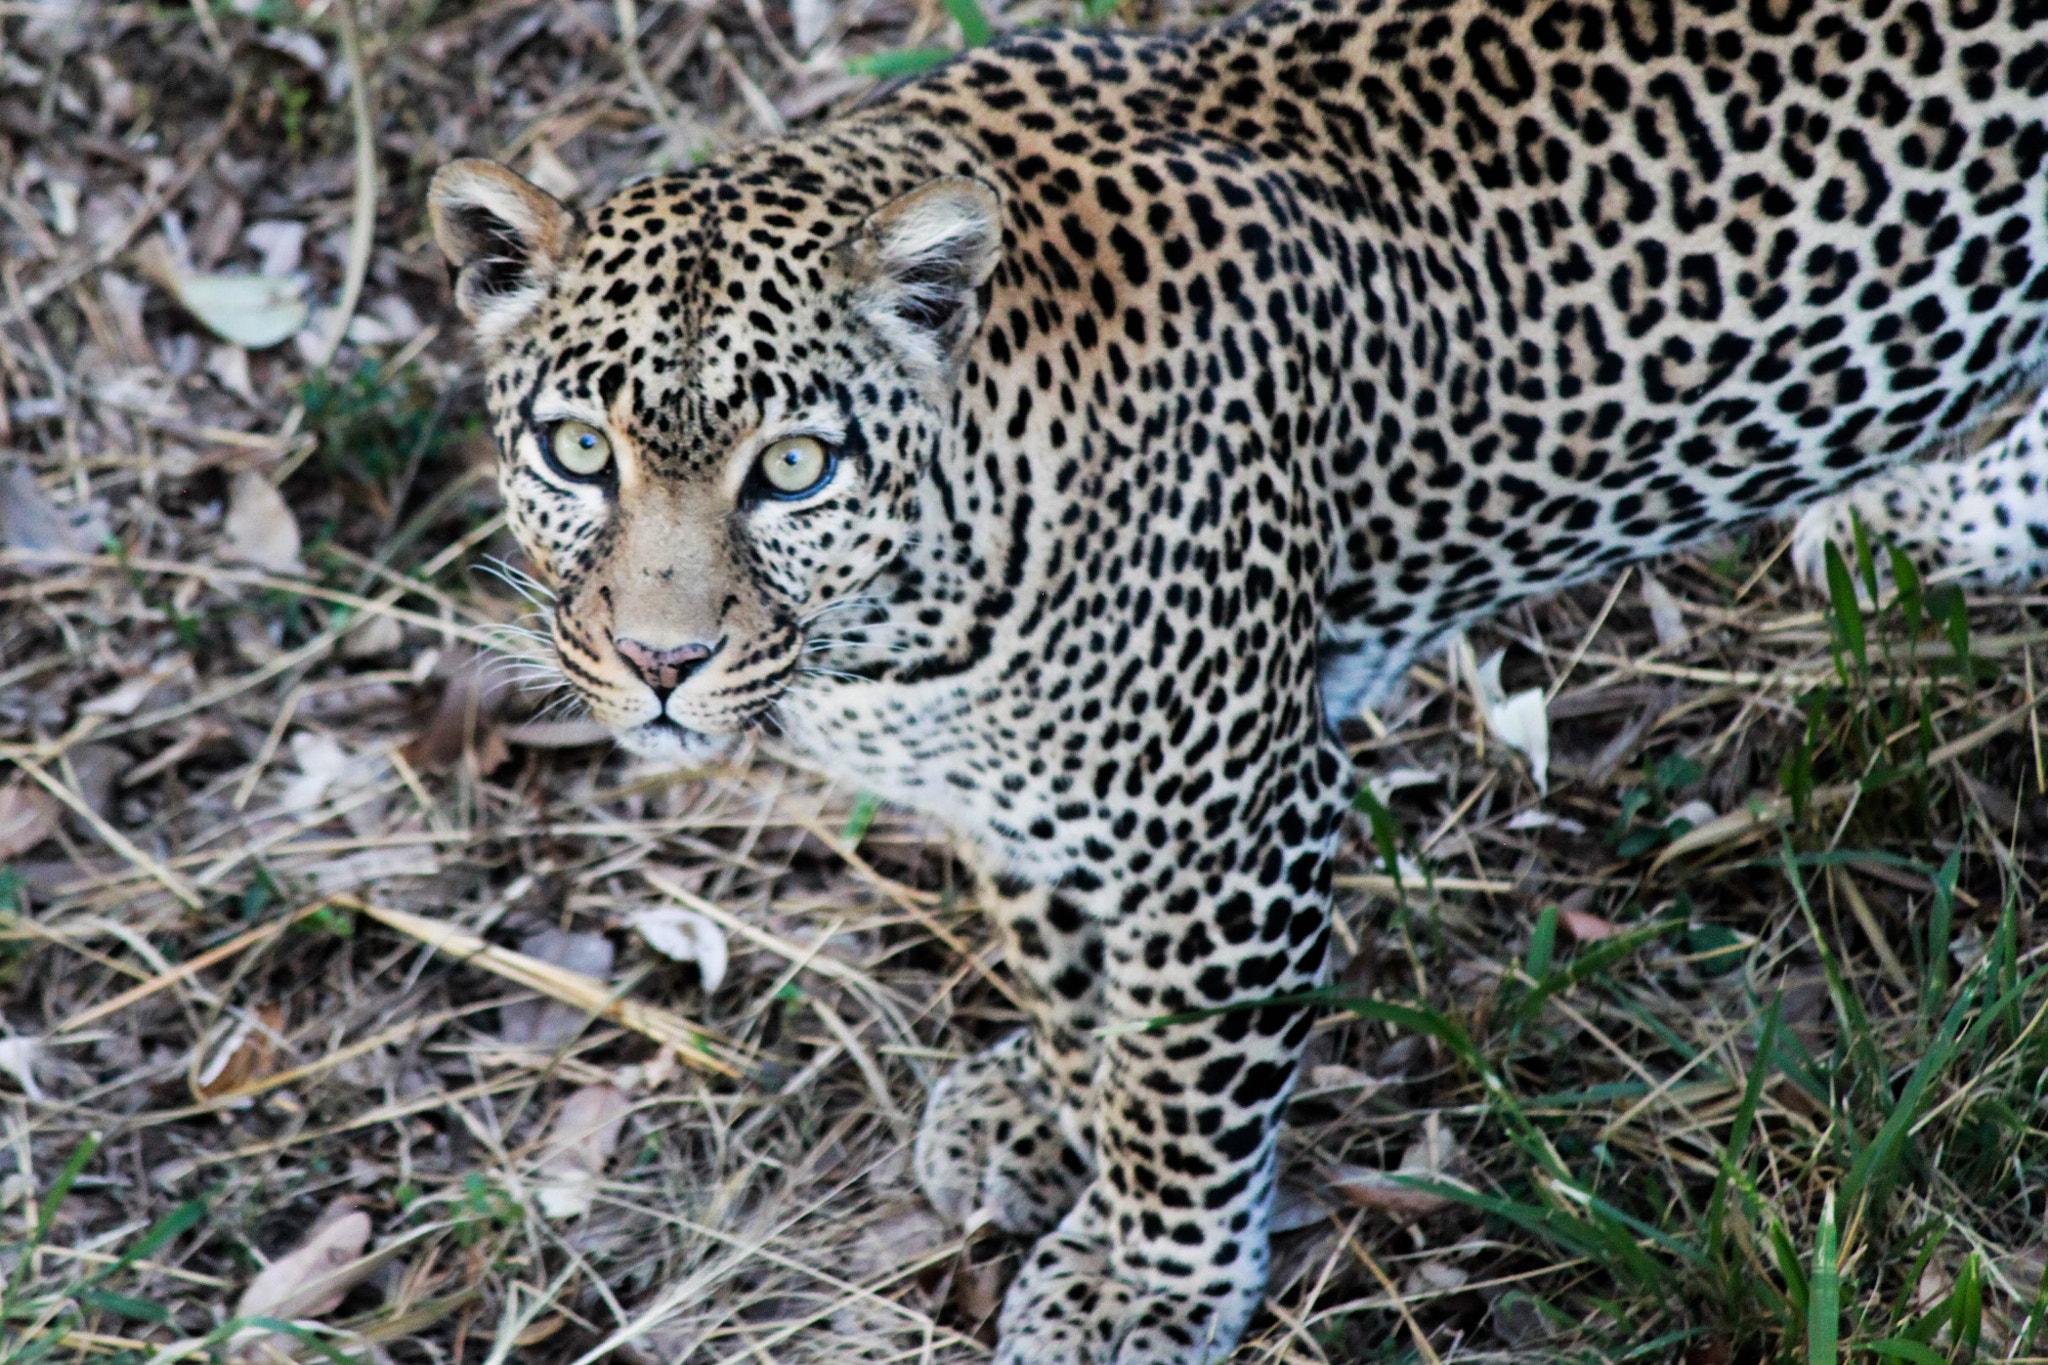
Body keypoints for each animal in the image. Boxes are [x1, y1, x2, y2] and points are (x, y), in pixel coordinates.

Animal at [428, 0, 2048, 1355]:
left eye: (794, 468)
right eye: (578, 450)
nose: (661, 660)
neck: (898, 621)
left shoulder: (1233, 823)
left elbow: (1183, 1084)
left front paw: (1138, 1281)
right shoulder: (1025, 803)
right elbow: (1067, 971)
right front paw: (1045, 1112)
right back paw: (1911, 524)